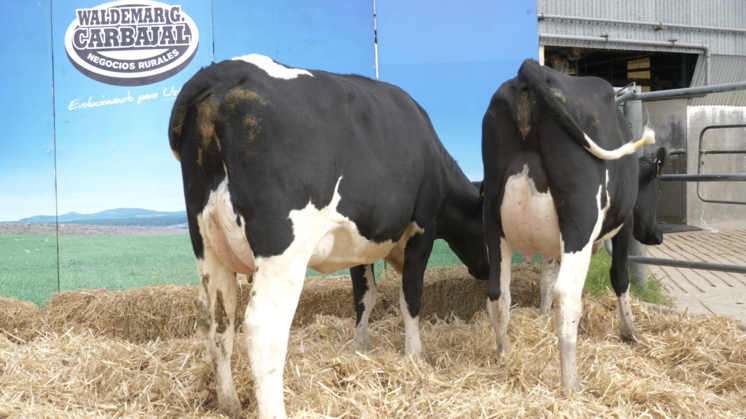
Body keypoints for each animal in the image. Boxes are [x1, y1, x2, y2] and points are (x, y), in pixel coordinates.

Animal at [168, 54, 489, 419]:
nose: (486, 270)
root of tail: (223, 72)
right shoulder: (423, 226)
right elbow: (410, 295)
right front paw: (415, 355)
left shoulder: (358, 242)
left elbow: (365, 296)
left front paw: (360, 347)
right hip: (283, 252)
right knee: (263, 328)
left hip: (207, 244)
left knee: (216, 322)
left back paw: (229, 403)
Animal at [481, 59, 666, 394]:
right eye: (657, 191)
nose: (657, 235)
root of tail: (532, 68)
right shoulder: (623, 223)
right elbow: (620, 277)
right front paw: (631, 332)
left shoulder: (553, 243)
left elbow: (544, 279)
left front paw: (540, 319)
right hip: (580, 218)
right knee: (566, 294)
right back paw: (571, 385)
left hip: (492, 217)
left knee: (498, 293)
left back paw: (503, 358)